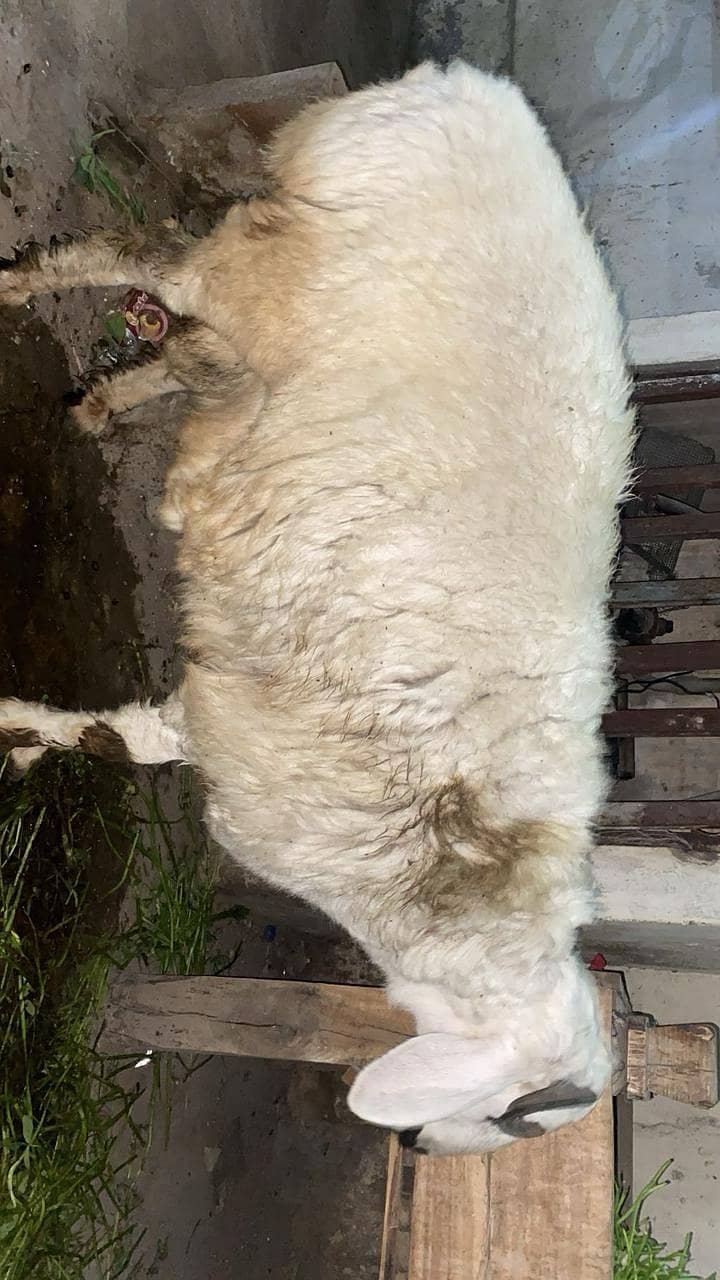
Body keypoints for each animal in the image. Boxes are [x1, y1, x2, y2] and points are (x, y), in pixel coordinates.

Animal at [0, 60, 634, 1156]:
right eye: (508, 1122)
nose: (410, 1143)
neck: (456, 877)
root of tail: (467, 91)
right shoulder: (245, 747)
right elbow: (114, 741)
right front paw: (12, 729)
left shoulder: (231, 727)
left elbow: (119, 736)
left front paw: (20, 739)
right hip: (266, 266)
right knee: (142, 254)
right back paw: (20, 290)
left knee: (190, 339)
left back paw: (107, 407)